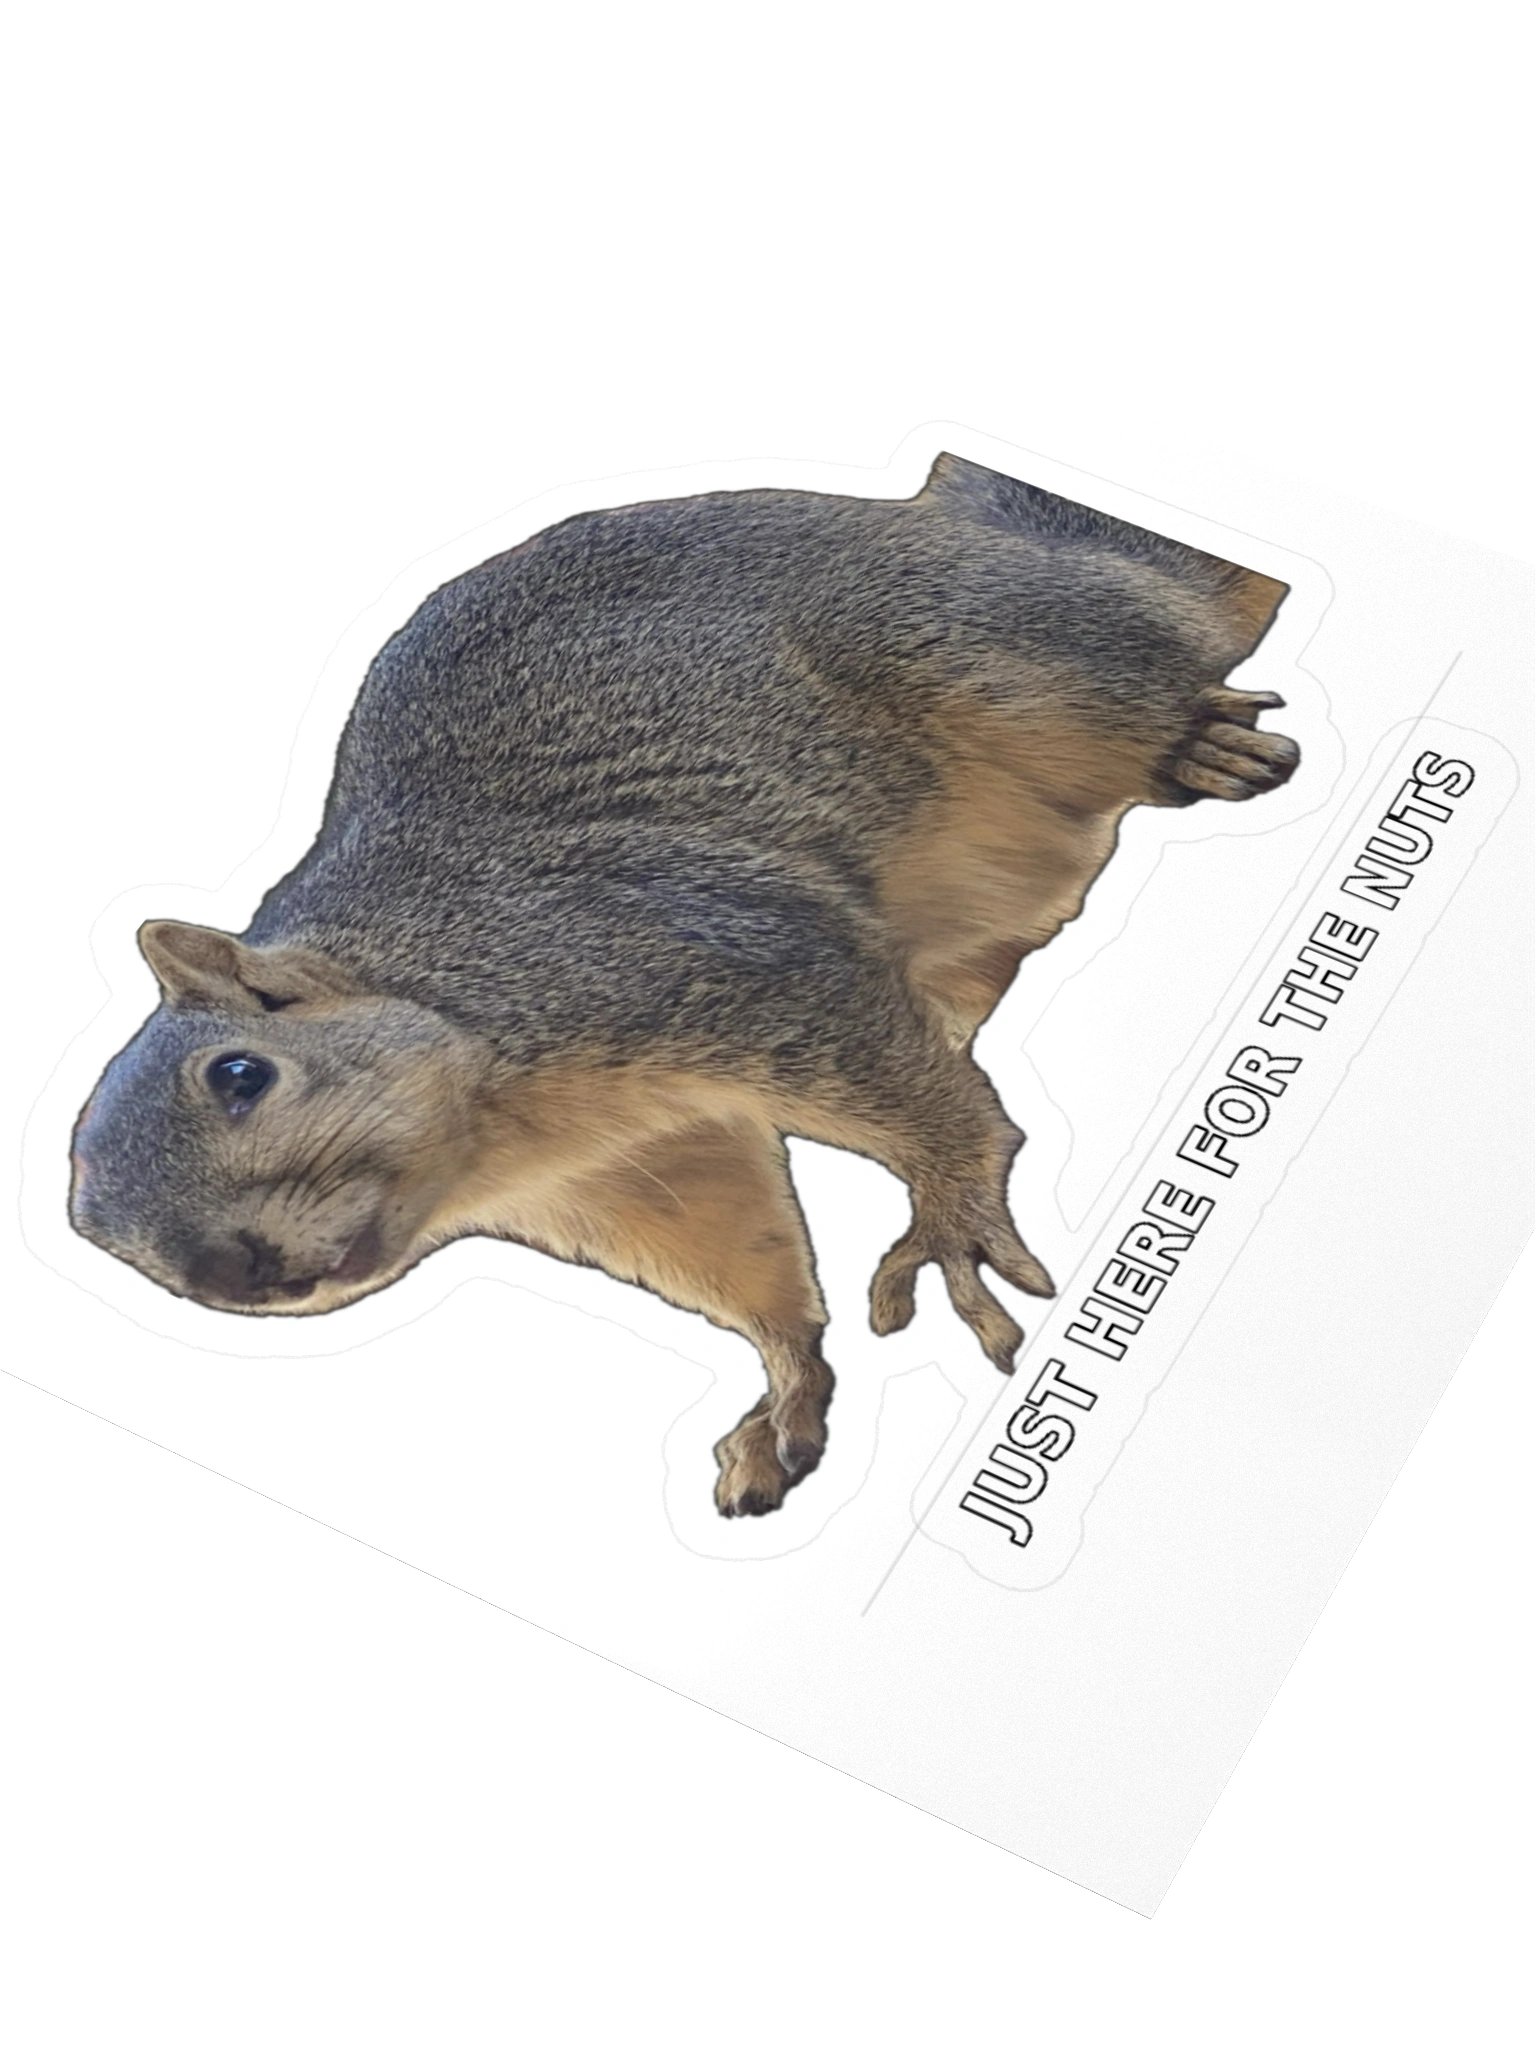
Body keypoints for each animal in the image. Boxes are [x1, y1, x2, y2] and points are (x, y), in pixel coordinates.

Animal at [70, 453, 1296, 1517]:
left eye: (239, 1073)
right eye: (115, 1247)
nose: (239, 1271)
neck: (508, 1132)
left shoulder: (712, 955)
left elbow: (920, 1098)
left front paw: (950, 1221)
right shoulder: (646, 1167)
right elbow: (747, 1256)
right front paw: (785, 1394)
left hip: (985, 646)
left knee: (1138, 664)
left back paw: (1201, 738)